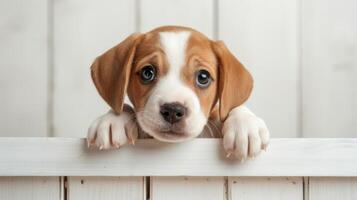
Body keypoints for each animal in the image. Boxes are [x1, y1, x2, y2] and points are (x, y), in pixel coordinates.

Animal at [87, 25, 268, 159]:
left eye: (203, 77)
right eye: (147, 73)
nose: (173, 110)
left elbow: (232, 108)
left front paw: (246, 125)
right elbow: (121, 106)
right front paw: (112, 120)